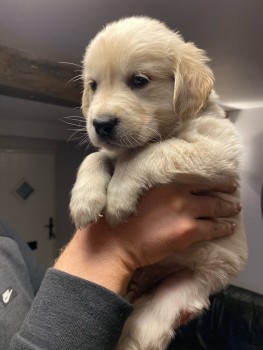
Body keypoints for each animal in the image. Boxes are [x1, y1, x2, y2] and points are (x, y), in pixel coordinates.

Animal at [69, 16, 248, 350]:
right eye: (93, 85)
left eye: (139, 81)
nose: (100, 124)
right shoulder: (111, 151)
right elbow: (96, 157)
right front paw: (84, 200)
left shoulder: (217, 148)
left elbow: (151, 152)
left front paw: (118, 197)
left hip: (187, 285)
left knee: (145, 329)